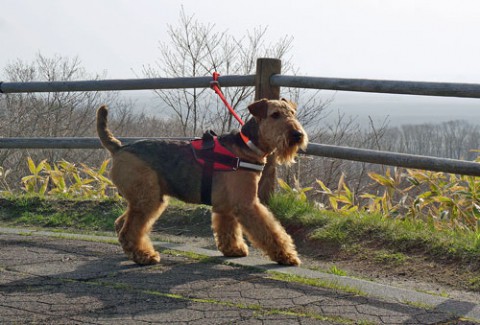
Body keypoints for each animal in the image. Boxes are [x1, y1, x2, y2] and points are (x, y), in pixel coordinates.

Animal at [96, 97, 308, 264]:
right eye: (275, 115)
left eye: (292, 113)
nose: (297, 135)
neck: (248, 146)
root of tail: (119, 147)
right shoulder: (247, 203)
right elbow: (271, 231)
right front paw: (287, 256)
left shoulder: (226, 205)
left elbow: (228, 229)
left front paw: (233, 249)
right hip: (148, 199)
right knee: (129, 230)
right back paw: (145, 256)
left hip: (146, 199)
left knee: (121, 224)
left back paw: (134, 252)